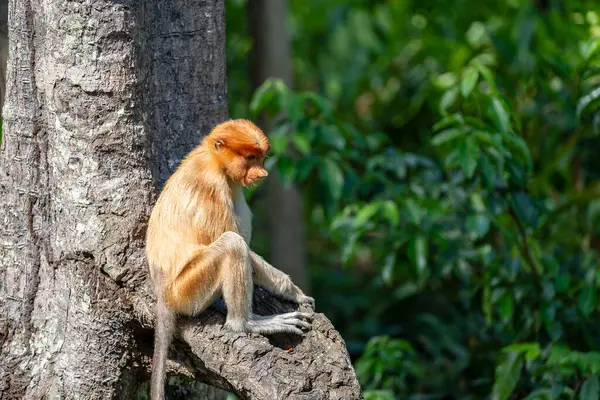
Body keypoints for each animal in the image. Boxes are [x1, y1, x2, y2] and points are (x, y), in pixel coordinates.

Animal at [145, 119, 314, 400]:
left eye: (261, 157)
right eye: (250, 157)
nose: (262, 173)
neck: (214, 161)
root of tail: (163, 296)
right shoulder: (213, 186)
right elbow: (236, 241)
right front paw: (292, 291)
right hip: (186, 292)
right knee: (232, 245)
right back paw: (244, 324)